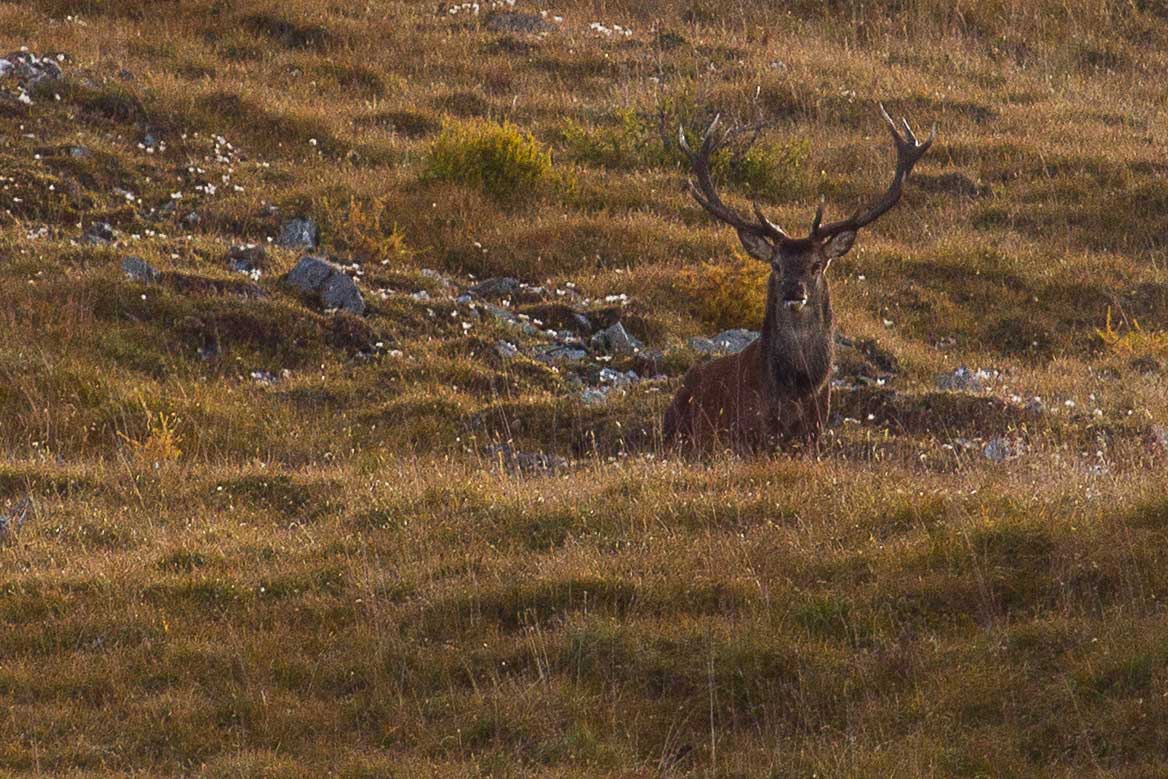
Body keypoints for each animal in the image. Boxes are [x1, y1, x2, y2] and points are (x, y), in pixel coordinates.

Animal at [664, 106, 935, 455]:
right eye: (777, 265)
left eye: (816, 265)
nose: (794, 290)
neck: (796, 390)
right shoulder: (744, 435)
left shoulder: (814, 434)